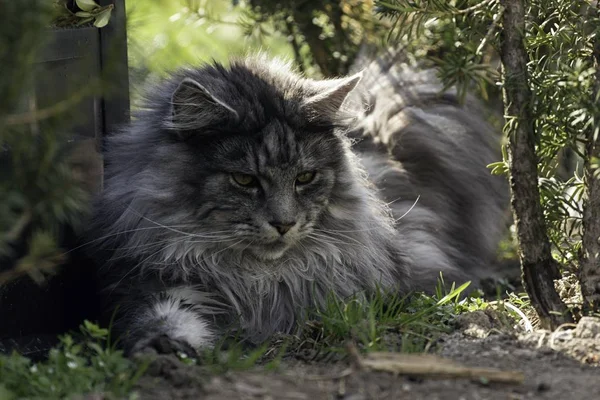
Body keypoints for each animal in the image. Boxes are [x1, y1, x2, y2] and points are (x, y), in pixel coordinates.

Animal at [89, 51, 508, 354]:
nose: (283, 223)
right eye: (245, 180)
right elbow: (163, 319)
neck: (255, 280)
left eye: (305, 178)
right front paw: (165, 349)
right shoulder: (156, 285)